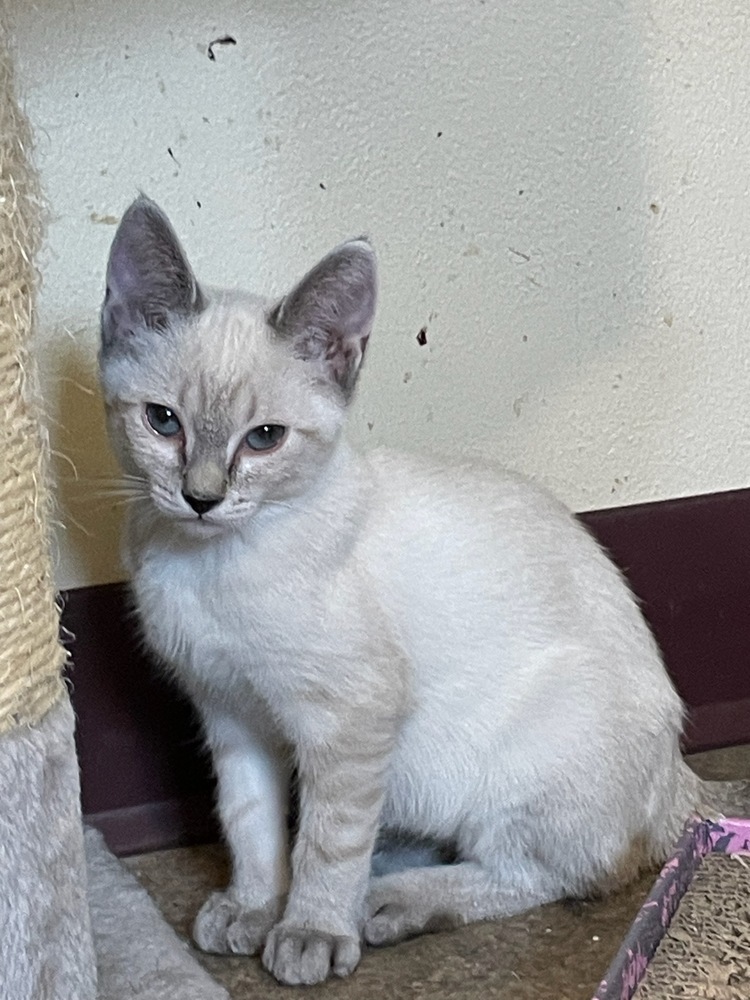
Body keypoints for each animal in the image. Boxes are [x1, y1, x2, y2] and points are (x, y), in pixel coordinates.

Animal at [97, 195, 732, 984]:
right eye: (163, 422)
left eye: (265, 438)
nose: (201, 498)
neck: (209, 564)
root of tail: (681, 779)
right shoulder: (233, 712)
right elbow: (250, 825)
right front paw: (253, 906)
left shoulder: (351, 719)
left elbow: (328, 842)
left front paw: (308, 930)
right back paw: (387, 867)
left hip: (520, 768)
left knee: (550, 874)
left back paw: (388, 902)